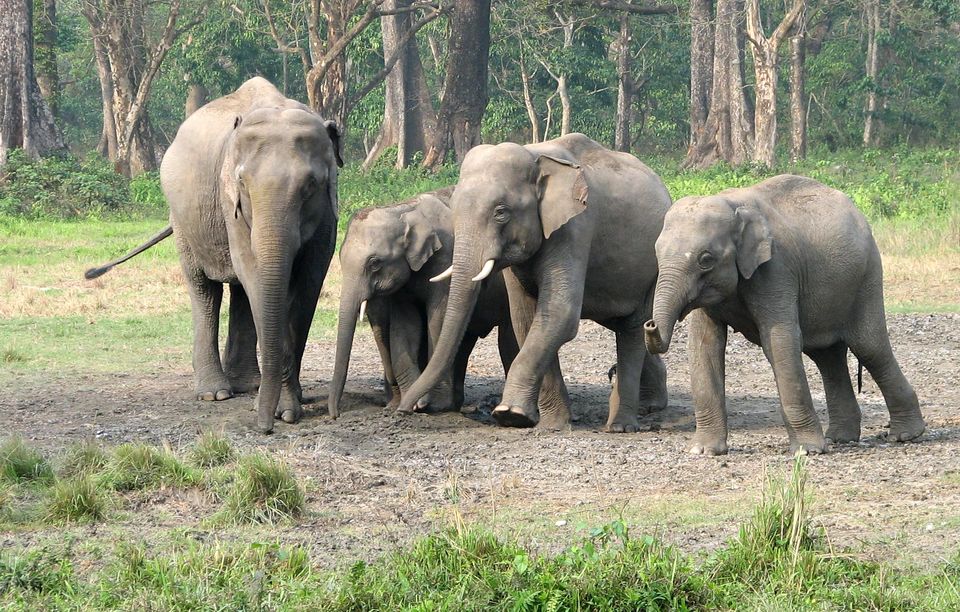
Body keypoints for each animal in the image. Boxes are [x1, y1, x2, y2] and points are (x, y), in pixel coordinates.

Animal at [84, 77, 344, 436]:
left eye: (311, 185)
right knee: (205, 289)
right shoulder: (228, 200)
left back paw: (247, 385)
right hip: (183, 223)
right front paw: (283, 409)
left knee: (240, 291)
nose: (264, 429)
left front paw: (287, 408)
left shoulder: (328, 211)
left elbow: (309, 281)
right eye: (242, 182)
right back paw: (215, 393)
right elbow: (254, 272)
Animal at [332, 188, 524, 416]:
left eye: (374, 263)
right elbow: (405, 327)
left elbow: (437, 321)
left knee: (508, 339)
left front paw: (431, 405)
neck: (403, 209)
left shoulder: (447, 259)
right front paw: (413, 404)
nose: (335, 415)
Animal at [394, 133, 672, 430]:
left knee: (631, 329)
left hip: (654, 267)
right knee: (628, 324)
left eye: (501, 212)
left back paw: (621, 425)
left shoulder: (575, 228)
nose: (407, 409)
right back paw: (648, 404)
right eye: (454, 209)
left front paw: (509, 414)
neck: (534, 154)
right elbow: (525, 318)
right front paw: (551, 423)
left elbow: (559, 313)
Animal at [640, 172, 928, 454]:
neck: (732, 203)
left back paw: (905, 435)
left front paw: (807, 451)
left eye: (706, 259)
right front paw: (704, 451)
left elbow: (779, 341)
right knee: (827, 357)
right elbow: (705, 346)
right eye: (656, 254)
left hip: (866, 278)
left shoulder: (777, 268)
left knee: (869, 347)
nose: (649, 324)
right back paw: (840, 439)